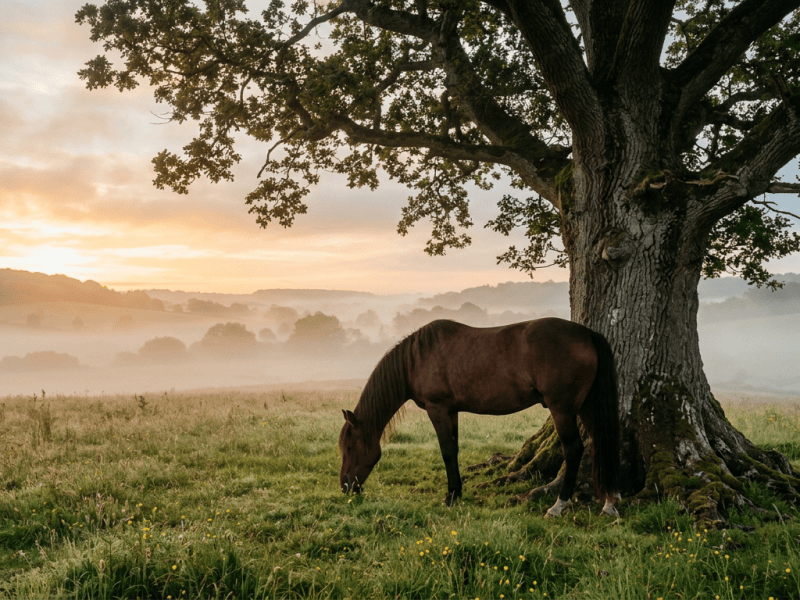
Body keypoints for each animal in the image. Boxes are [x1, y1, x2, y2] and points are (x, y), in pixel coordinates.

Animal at [338, 317, 620, 518]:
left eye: (349, 447)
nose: (346, 487)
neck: (416, 359)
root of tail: (587, 334)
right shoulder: (451, 411)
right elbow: (454, 450)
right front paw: (457, 492)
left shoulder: (438, 409)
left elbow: (446, 451)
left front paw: (450, 496)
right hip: (586, 406)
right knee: (600, 443)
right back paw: (609, 503)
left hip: (562, 409)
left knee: (573, 449)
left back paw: (559, 506)